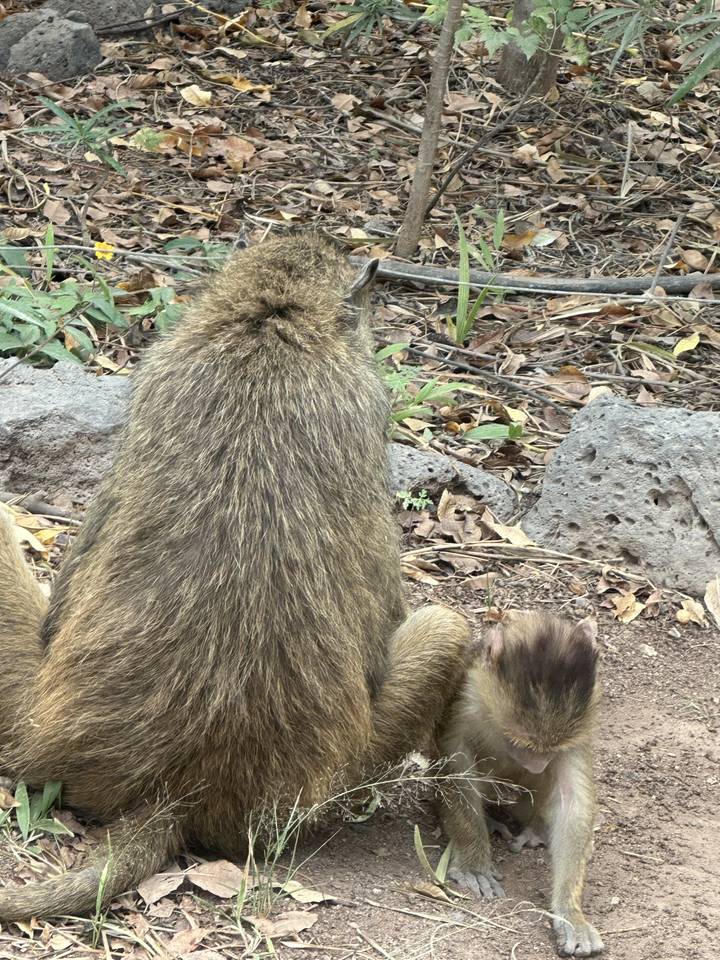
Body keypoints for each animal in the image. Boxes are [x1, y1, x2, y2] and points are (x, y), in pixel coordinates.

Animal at [439, 611, 603, 958]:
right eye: (521, 743)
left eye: (549, 748)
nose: (537, 763)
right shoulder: (467, 697)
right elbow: (456, 762)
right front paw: (474, 865)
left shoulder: (579, 729)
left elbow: (573, 802)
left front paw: (569, 913)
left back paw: (537, 828)